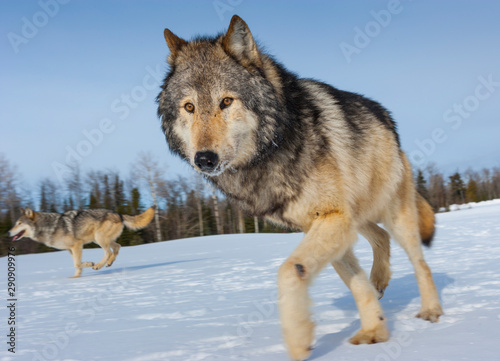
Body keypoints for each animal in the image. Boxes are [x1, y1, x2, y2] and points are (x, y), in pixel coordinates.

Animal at [8, 207, 154, 278]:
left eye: (19, 223)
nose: (8, 232)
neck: (49, 227)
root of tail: (119, 214)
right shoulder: (70, 249)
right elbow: (76, 265)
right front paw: (75, 278)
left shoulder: (77, 245)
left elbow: (77, 263)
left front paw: (90, 264)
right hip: (100, 239)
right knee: (117, 247)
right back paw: (109, 263)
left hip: (99, 238)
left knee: (108, 252)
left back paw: (98, 265)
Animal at [156, 15, 442, 358]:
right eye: (189, 107)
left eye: (226, 101)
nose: (204, 159)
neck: (274, 148)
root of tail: (387, 118)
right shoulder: (323, 222)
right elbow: (354, 283)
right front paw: (374, 330)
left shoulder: (332, 218)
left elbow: (289, 271)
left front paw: (298, 338)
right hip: (357, 217)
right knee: (380, 238)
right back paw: (380, 280)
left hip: (393, 214)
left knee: (420, 262)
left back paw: (431, 310)